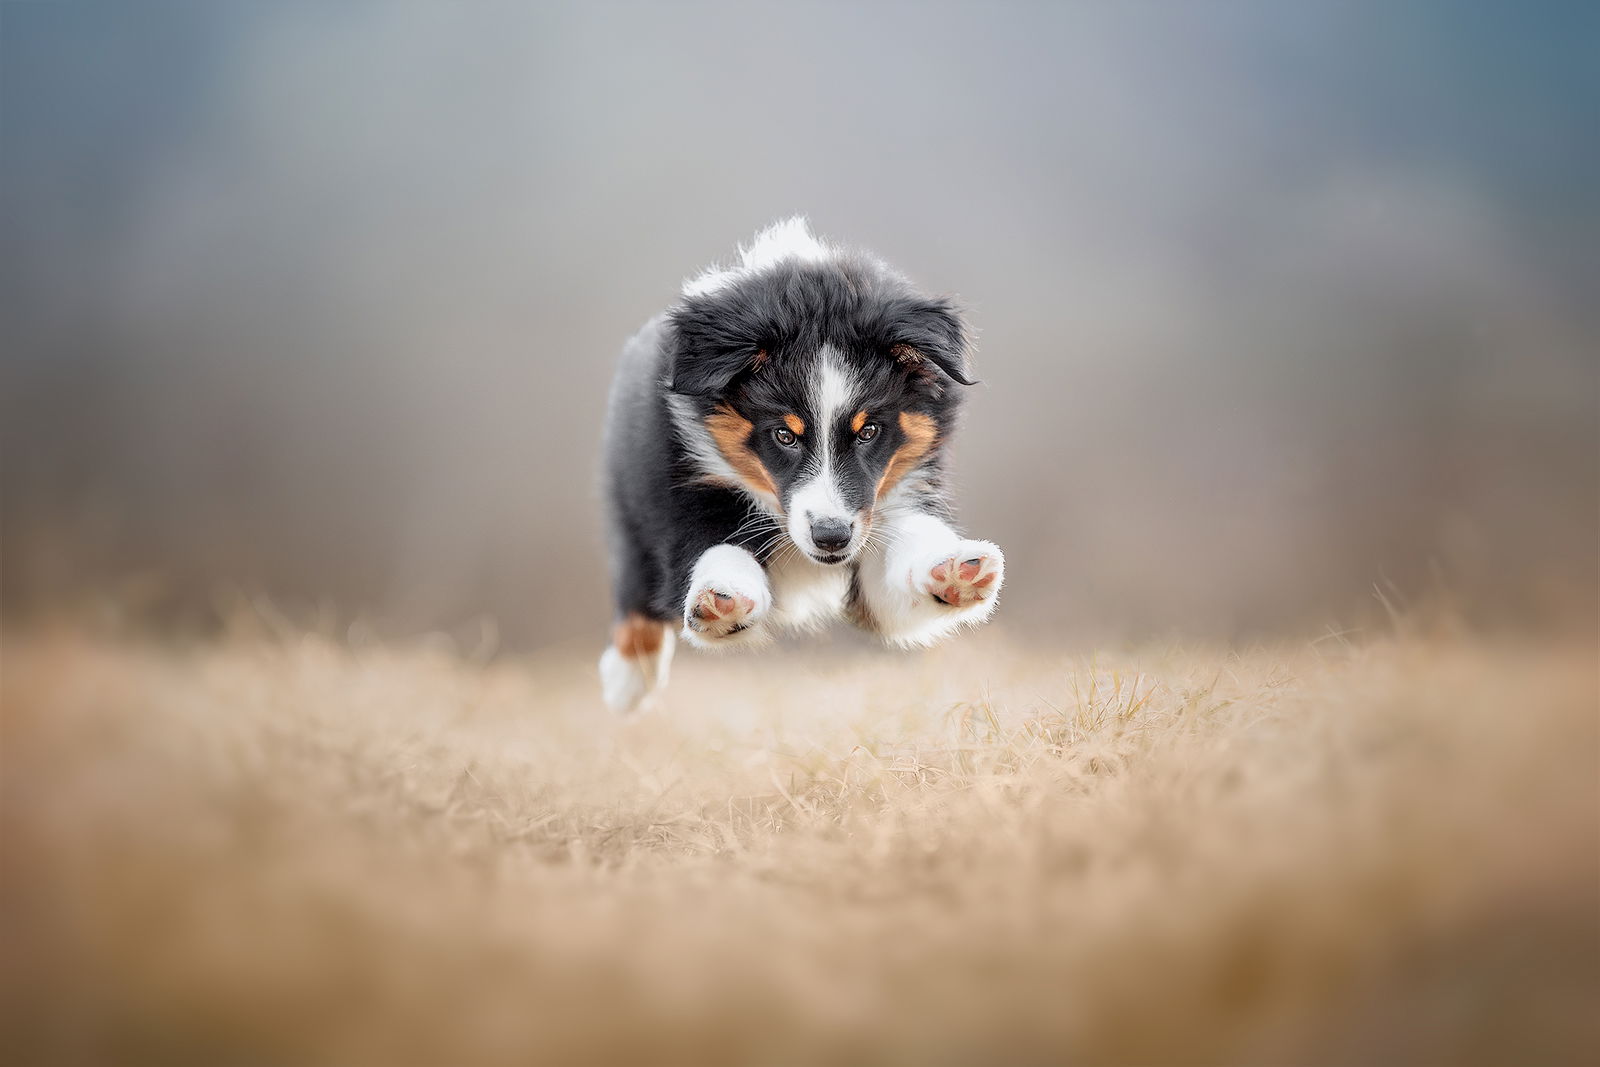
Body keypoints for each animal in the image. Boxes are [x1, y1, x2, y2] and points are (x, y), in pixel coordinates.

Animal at [595, 220, 1004, 713]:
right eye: (784, 436)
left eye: (869, 431)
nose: (831, 537)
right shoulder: (683, 487)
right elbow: (709, 549)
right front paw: (723, 598)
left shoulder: (891, 500)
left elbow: (904, 557)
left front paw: (954, 570)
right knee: (635, 593)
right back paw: (627, 680)